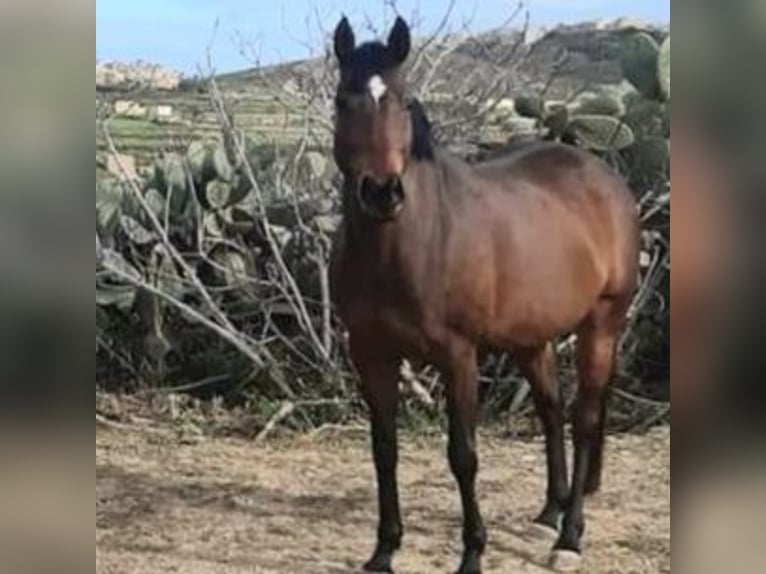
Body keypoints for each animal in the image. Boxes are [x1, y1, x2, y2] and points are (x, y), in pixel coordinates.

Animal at [330, 15, 640, 572]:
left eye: (403, 101)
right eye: (344, 100)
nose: (382, 193)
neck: (411, 245)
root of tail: (605, 178)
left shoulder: (458, 356)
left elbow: (463, 455)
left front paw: (473, 553)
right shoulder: (370, 353)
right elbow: (384, 449)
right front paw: (384, 550)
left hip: (602, 324)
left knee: (584, 419)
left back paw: (570, 537)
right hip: (531, 338)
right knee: (551, 408)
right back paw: (550, 513)